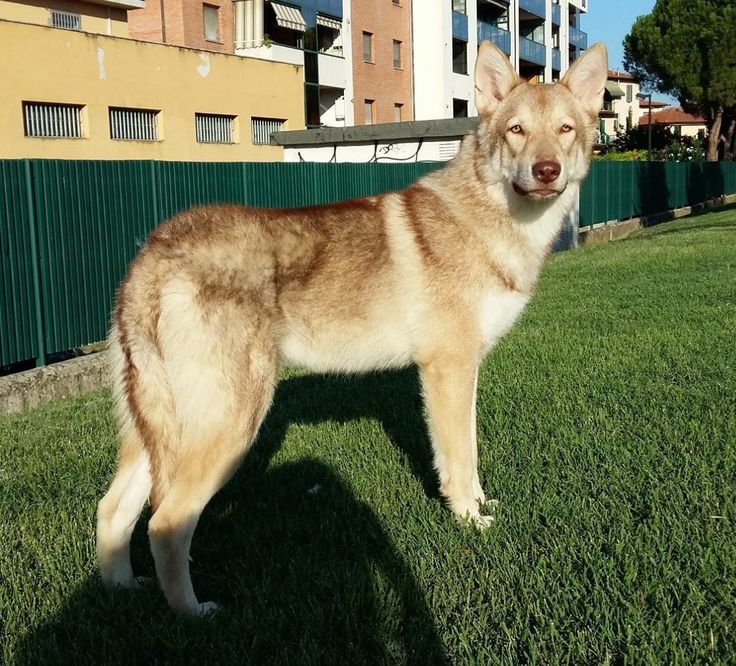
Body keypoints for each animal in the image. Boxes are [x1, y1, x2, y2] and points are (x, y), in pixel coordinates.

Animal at [95, 40, 608, 612]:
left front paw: (477, 504)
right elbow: (459, 459)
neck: (491, 219)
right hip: (228, 428)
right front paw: (471, 522)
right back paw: (193, 614)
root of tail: (152, 252)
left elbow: (468, 454)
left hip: (160, 432)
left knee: (112, 511)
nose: (546, 170)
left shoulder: (462, 373)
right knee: (164, 525)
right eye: (517, 130)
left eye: (565, 129)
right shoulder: (447, 370)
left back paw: (119, 591)